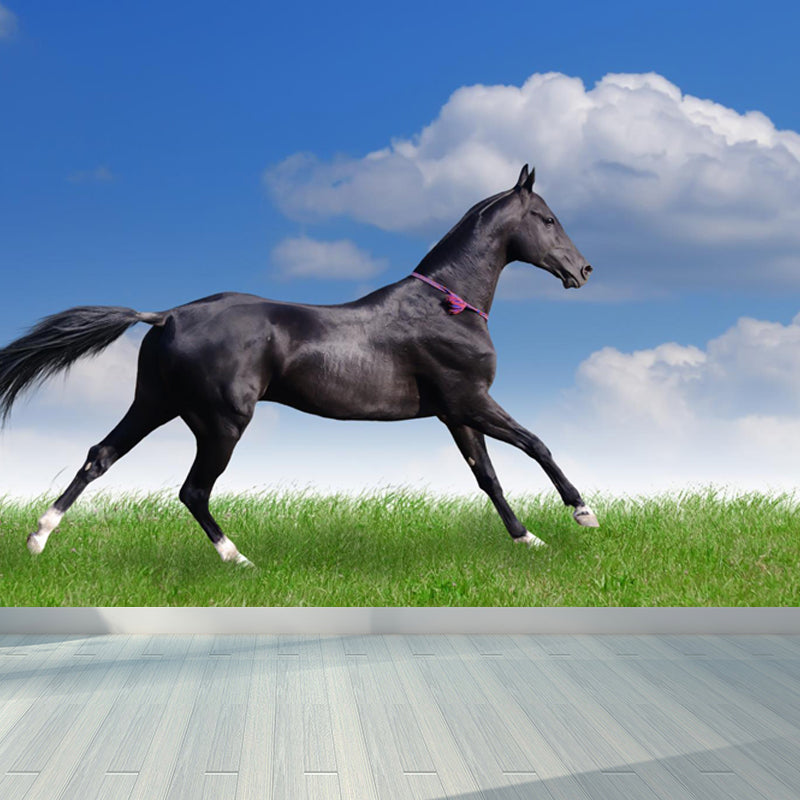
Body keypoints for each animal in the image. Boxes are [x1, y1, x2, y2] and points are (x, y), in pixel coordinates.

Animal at [0, 164, 598, 567]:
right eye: (547, 218)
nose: (584, 270)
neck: (445, 306)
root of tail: (166, 315)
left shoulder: (455, 412)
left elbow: (487, 477)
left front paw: (528, 539)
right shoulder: (471, 399)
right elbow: (537, 444)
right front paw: (582, 513)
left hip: (155, 404)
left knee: (100, 457)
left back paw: (37, 538)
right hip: (221, 423)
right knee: (193, 491)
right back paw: (239, 560)